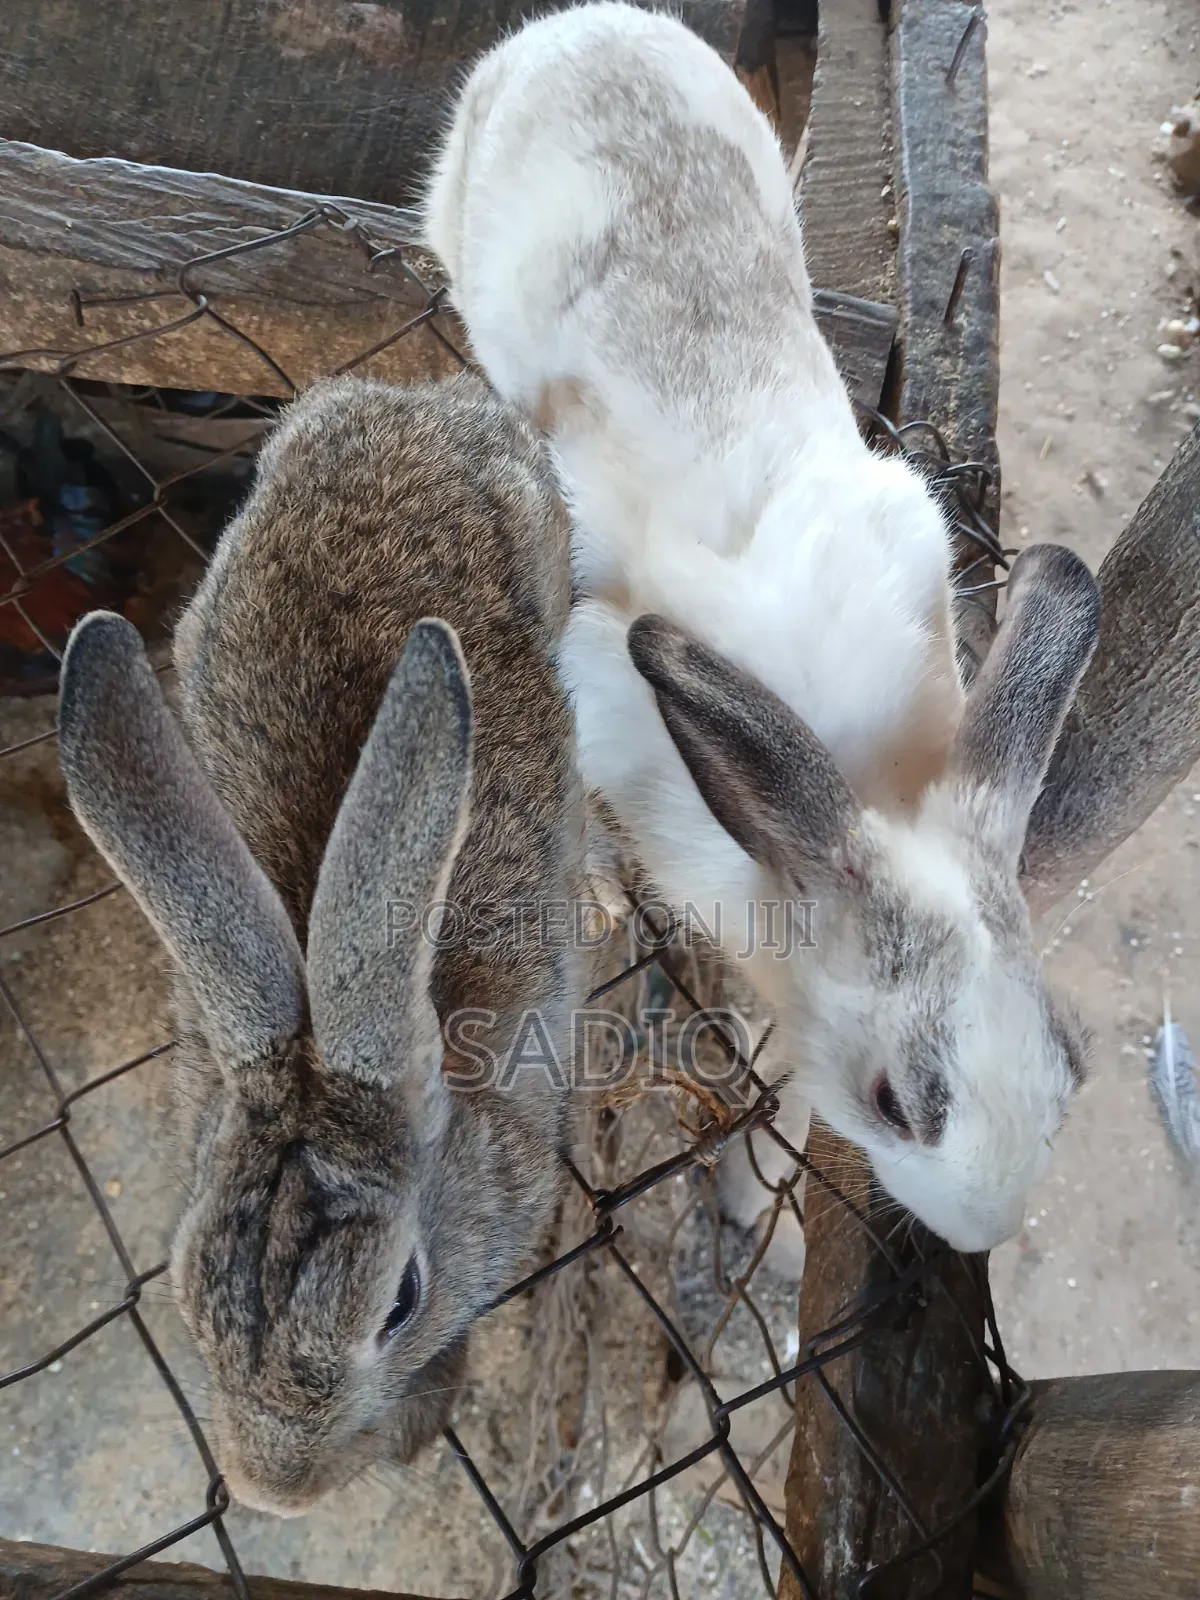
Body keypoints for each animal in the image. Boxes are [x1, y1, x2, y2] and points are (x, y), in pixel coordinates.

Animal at [423, 1, 1100, 1256]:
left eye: (1069, 1064)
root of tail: (581, 26)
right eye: (894, 1103)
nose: (980, 1234)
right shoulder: (598, 703)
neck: (852, 788)